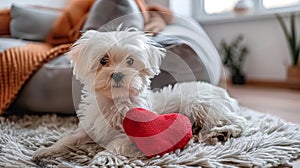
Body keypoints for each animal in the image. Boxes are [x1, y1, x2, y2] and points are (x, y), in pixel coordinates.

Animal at [34, 28, 246, 159]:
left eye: (130, 61)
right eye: (103, 60)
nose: (117, 74)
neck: (115, 103)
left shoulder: (135, 131)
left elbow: (116, 143)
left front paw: (102, 156)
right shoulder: (90, 127)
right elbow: (69, 138)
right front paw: (46, 150)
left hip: (199, 103)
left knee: (238, 121)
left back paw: (223, 132)